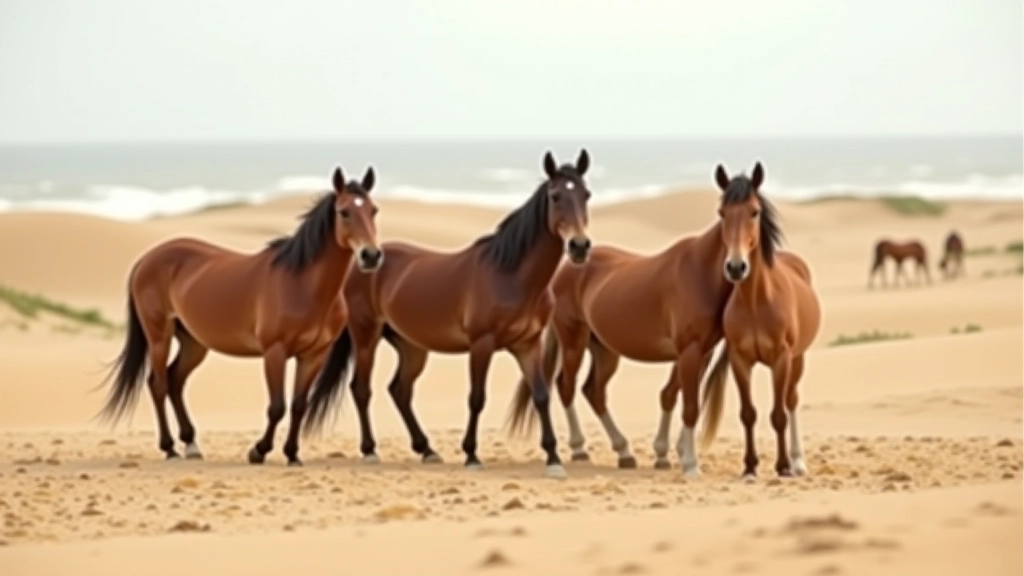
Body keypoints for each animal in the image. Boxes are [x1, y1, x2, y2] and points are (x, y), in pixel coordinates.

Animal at [96, 166, 383, 467]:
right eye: (344, 212)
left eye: (374, 210)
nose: (371, 255)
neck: (303, 284)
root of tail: (146, 259)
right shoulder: (275, 351)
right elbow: (277, 407)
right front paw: (259, 450)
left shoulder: (314, 355)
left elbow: (298, 405)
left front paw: (292, 454)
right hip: (159, 335)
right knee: (158, 384)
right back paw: (170, 449)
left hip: (194, 343)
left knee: (175, 381)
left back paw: (191, 444)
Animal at [301, 149, 594, 479]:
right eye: (555, 197)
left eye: (586, 195)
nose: (579, 246)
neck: (512, 276)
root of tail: (363, 262)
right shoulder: (482, 345)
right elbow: (477, 398)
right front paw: (471, 455)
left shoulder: (528, 344)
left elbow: (541, 396)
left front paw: (554, 459)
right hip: (366, 337)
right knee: (361, 389)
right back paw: (370, 451)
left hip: (412, 347)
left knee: (400, 390)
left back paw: (427, 450)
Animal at [505, 164, 745, 477]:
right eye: (725, 214)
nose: (738, 267)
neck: (700, 272)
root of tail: (565, 269)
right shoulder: (689, 351)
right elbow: (681, 397)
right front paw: (673, 456)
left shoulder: (700, 353)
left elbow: (679, 394)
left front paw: (674, 453)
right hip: (574, 342)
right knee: (566, 386)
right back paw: (580, 449)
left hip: (606, 351)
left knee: (593, 391)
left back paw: (624, 452)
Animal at [698, 161, 822, 480]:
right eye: (722, 213)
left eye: (754, 211)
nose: (736, 267)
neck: (756, 301)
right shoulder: (740, 360)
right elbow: (748, 413)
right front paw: (750, 466)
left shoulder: (781, 359)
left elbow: (778, 415)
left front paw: (783, 467)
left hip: (798, 360)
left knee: (791, 402)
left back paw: (798, 461)